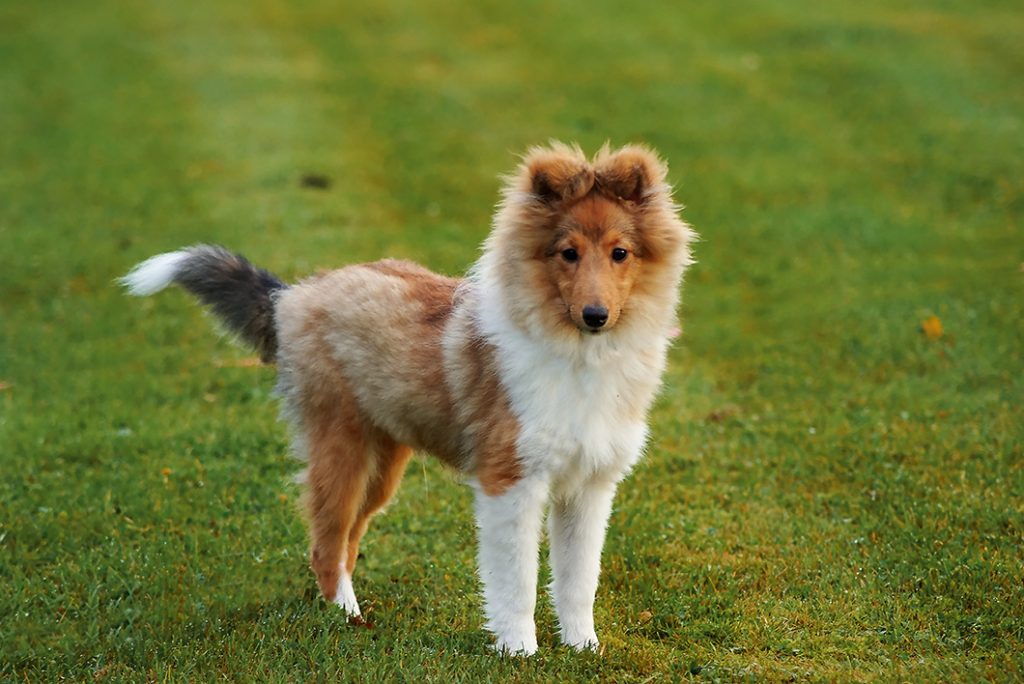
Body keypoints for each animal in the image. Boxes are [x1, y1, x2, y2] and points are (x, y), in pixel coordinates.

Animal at [121, 141, 696, 655]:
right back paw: (348, 619)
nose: (596, 315)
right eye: (568, 253)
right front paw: (518, 650)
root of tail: (290, 295)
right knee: (325, 544)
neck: (578, 355)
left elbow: (579, 580)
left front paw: (583, 648)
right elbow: (517, 579)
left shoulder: (590, 486)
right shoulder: (510, 481)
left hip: (382, 465)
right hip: (340, 448)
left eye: (620, 253)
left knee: (347, 540)